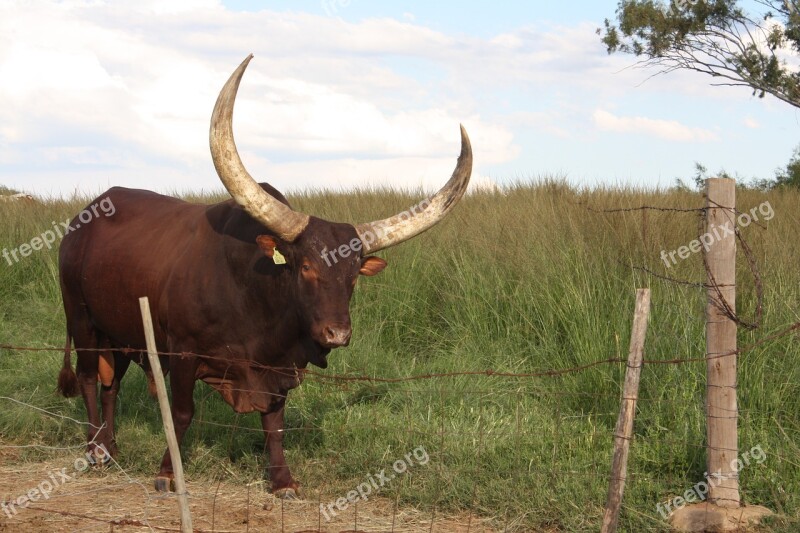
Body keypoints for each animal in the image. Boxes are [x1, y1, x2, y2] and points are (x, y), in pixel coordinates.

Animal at [59, 56, 472, 496]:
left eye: (355, 274)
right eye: (305, 266)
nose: (337, 334)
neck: (252, 300)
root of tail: (83, 219)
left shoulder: (278, 368)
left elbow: (274, 423)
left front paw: (282, 480)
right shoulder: (183, 351)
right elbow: (182, 412)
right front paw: (168, 473)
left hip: (118, 330)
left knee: (111, 384)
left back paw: (111, 446)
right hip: (81, 318)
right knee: (88, 378)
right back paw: (94, 450)